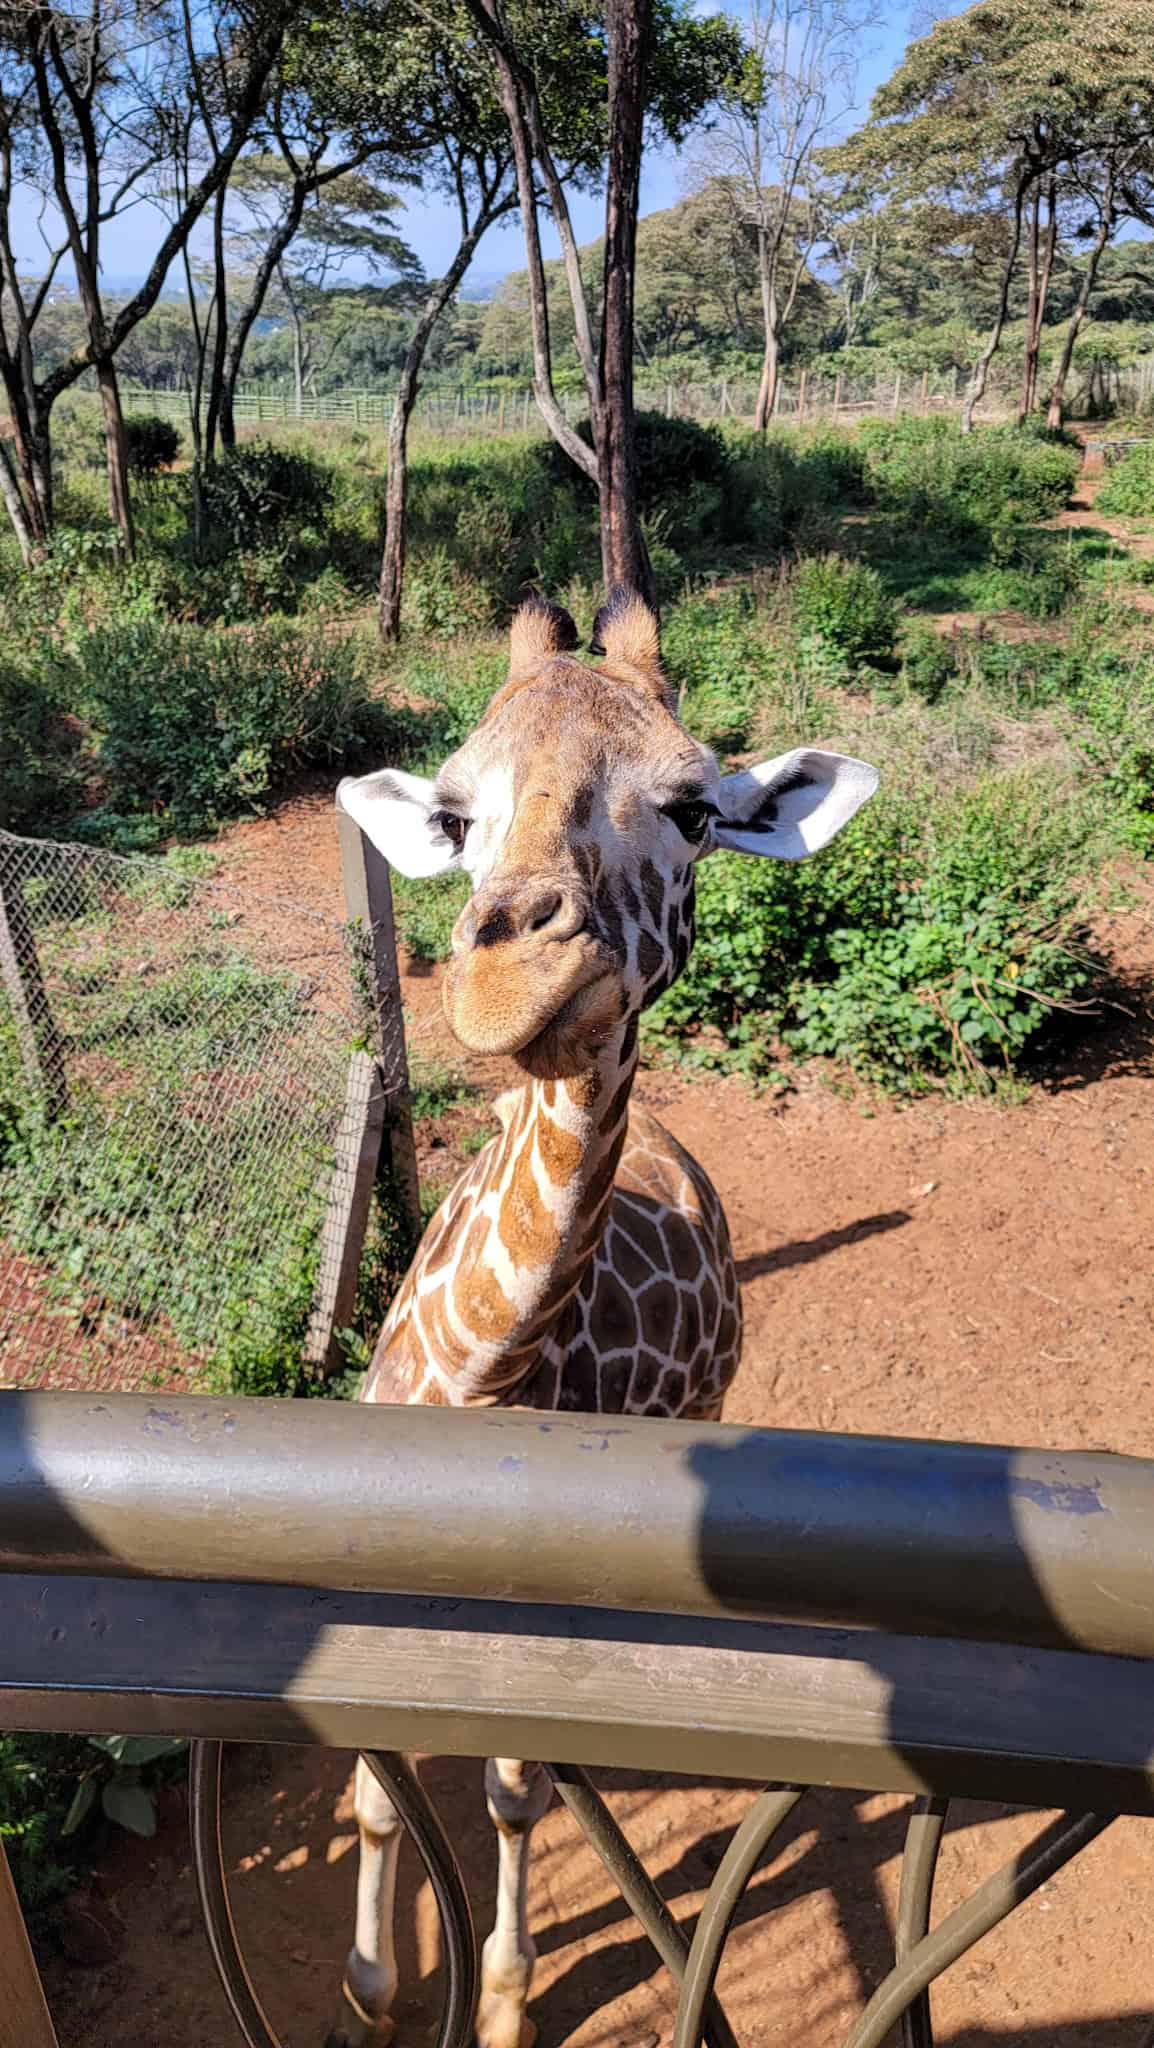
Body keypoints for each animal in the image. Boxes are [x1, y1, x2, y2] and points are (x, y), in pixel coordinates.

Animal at [325, 585, 877, 2039]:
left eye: (692, 808)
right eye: (452, 813)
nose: (508, 978)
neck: (477, 1377)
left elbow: (515, 1793)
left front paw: (506, 2000)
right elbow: (373, 1788)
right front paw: (370, 1981)